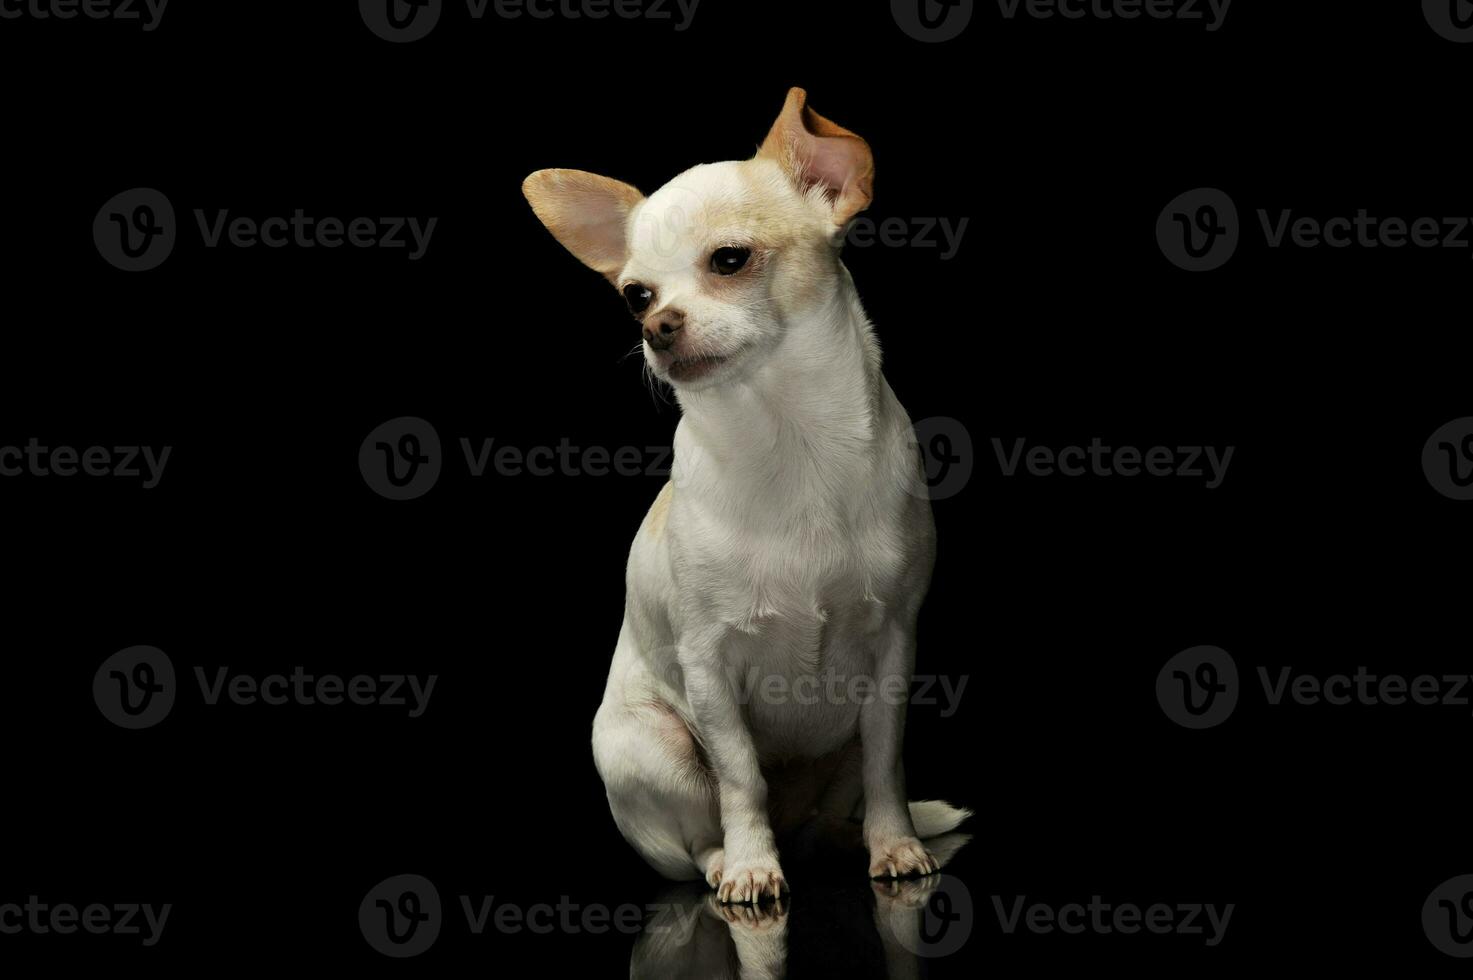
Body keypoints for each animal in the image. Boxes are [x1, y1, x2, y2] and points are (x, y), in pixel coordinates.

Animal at [527, 89, 966, 901]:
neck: (787, 440)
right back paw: (733, 860)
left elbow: (886, 760)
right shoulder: (709, 670)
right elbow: (739, 777)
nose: (657, 327)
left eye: (729, 260)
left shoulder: (894, 648)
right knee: (694, 844)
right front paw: (753, 864)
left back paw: (851, 836)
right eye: (634, 296)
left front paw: (896, 845)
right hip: (648, 748)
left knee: (836, 806)